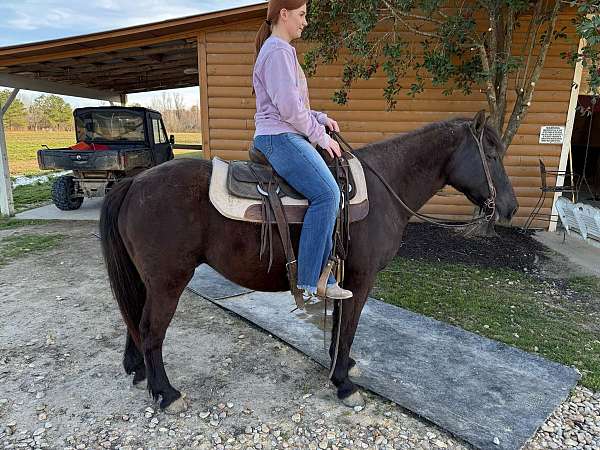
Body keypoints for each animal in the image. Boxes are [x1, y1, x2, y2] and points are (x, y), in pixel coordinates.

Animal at [101, 111, 516, 412]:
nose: (510, 208)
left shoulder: (344, 278)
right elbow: (348, 327)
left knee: (133, 320)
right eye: (491, 155)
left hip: (147, 280)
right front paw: (344, 384)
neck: (384, 190)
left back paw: (139, 372)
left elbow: (340, 327)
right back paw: (166, 393)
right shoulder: (362, 278)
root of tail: (134, 183)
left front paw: (339, 366)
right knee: (151, 330)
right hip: (168, 281)